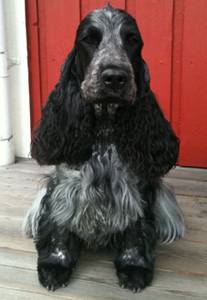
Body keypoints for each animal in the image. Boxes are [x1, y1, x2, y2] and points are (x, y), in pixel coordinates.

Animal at [23, 2, 185, 292]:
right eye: (88, 39)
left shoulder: (137, 190)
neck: (105, 129)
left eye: (132, 41)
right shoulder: (64, 187)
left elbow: (135, 230)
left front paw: (134, 268)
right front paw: (55, 266)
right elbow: (60, 226)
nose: (115, 77)